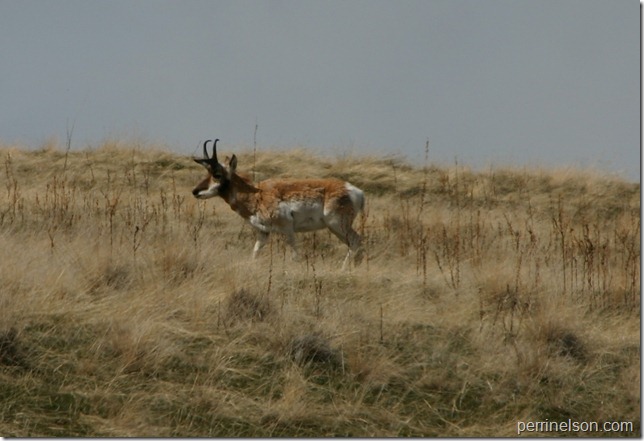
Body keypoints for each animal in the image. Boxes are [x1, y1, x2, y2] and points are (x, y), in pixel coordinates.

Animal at [192, 139, 365, 269]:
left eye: (217, 174)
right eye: (207, 173)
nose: (195, 191)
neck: (256, 194)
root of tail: (355, 191)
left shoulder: (287, 229)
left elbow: (295, 255)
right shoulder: (263, 233)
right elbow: (255, 253)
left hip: (336, 225)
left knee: (356, 241)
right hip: (336, 228)